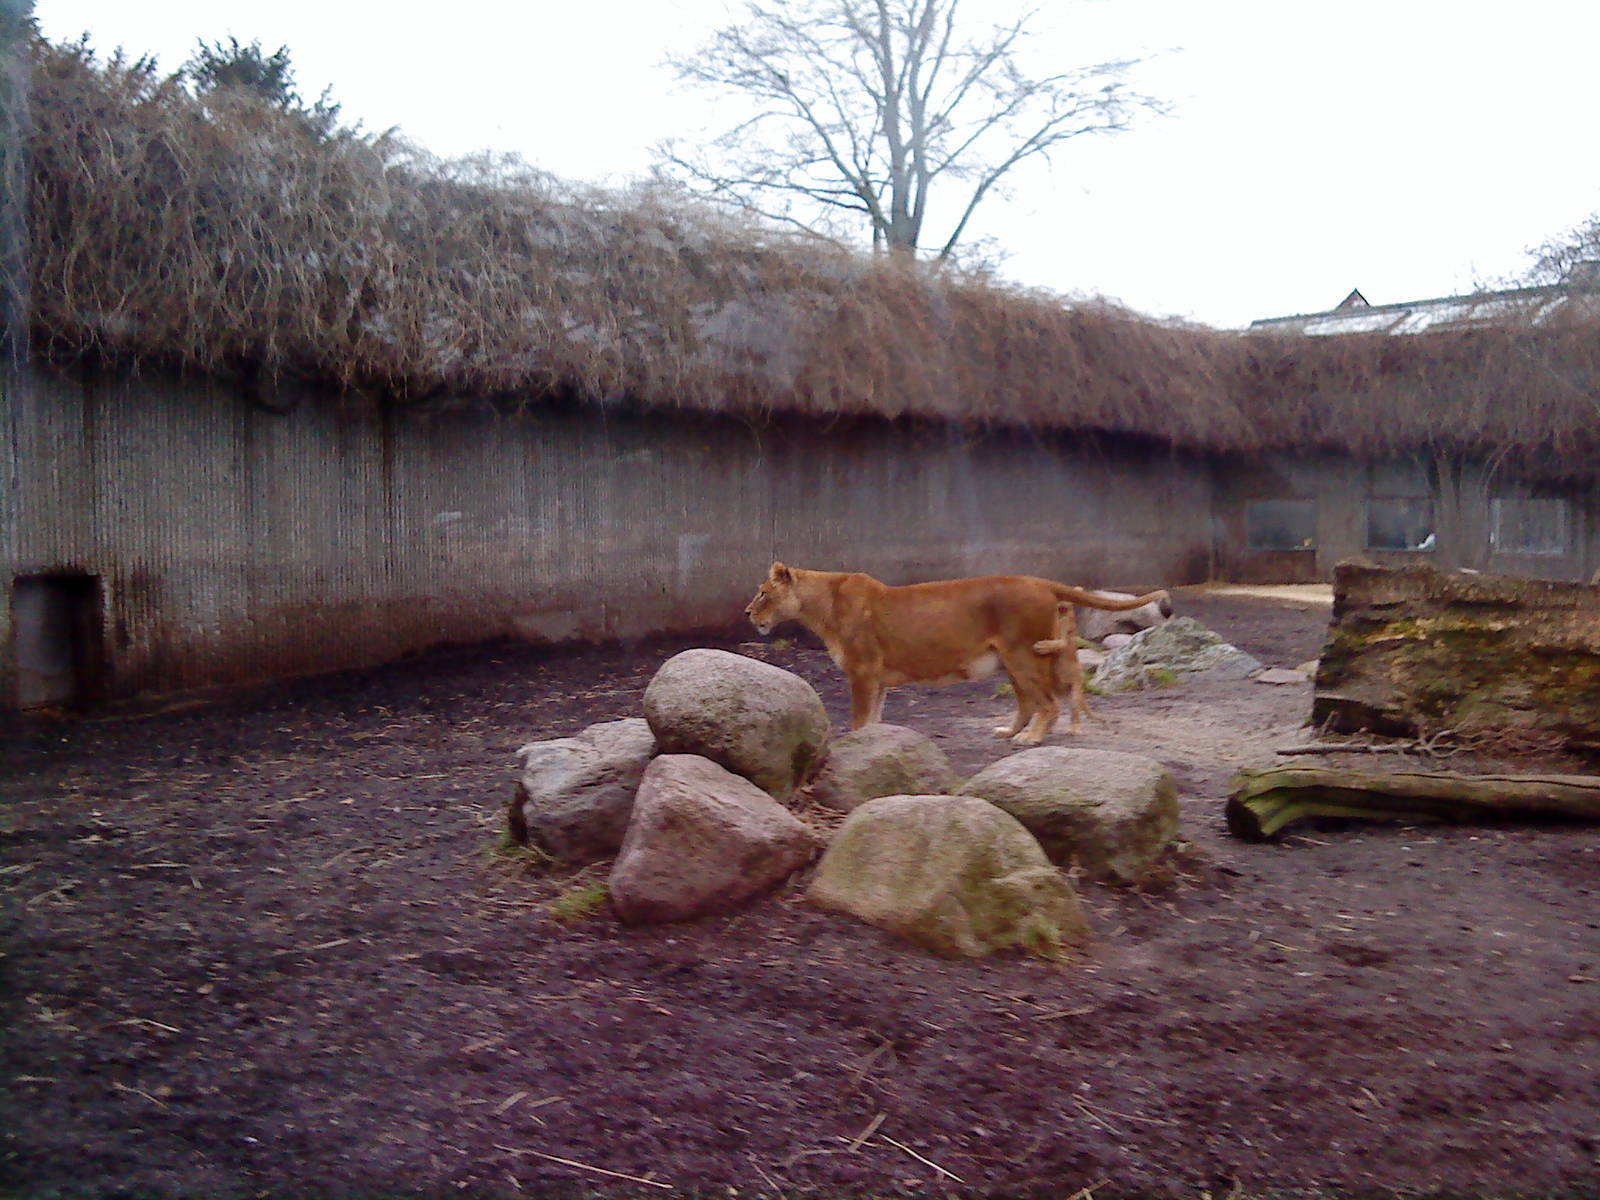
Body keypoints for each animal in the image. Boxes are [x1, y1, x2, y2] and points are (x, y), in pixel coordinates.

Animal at [744, 562, 1171, 745]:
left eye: (762, 592)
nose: (748, 613)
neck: (822, 605)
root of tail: (1040, 581)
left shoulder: (862, 671)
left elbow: (859, 720)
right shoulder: (878, 677)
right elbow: (875, 718)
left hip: (1023, 654)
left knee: (1048, 703)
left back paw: (1030, 740)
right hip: (1009, 662)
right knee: (1028, 702)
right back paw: (1010, 731)